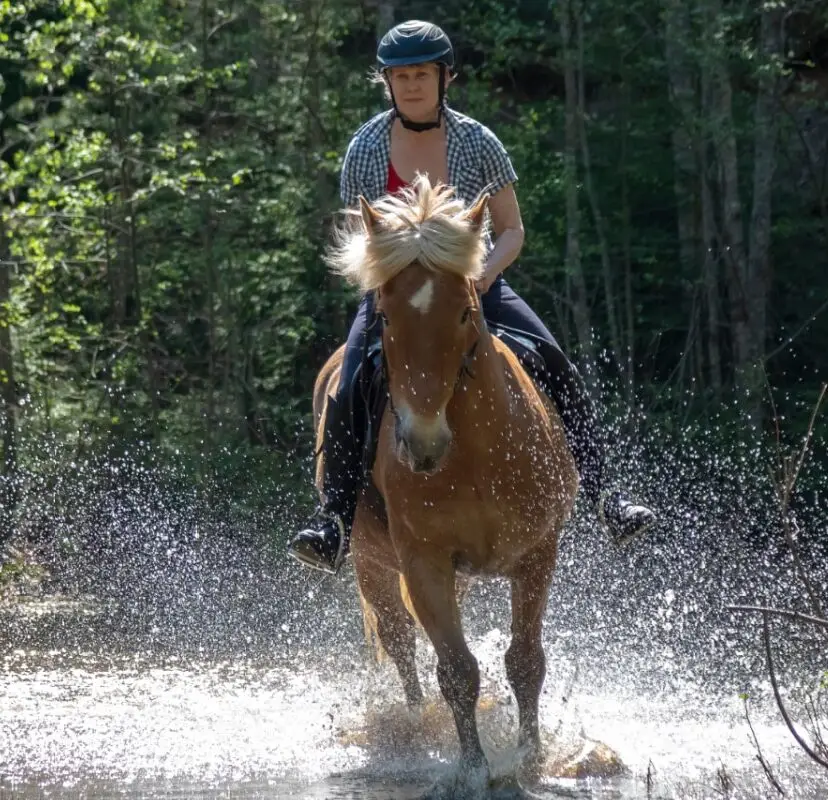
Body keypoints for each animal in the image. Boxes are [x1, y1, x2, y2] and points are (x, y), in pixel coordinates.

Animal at [312, 175, 579, 797]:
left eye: (464, 314)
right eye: (385, 317)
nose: (422, 443)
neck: (477, 455)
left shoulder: (537, 554)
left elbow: (525, 661)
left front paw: (529, 759)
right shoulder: (424, 563)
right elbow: (456, 669)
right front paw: (474, 769)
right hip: (371, 563)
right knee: (400, 641)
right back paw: (416, 729)